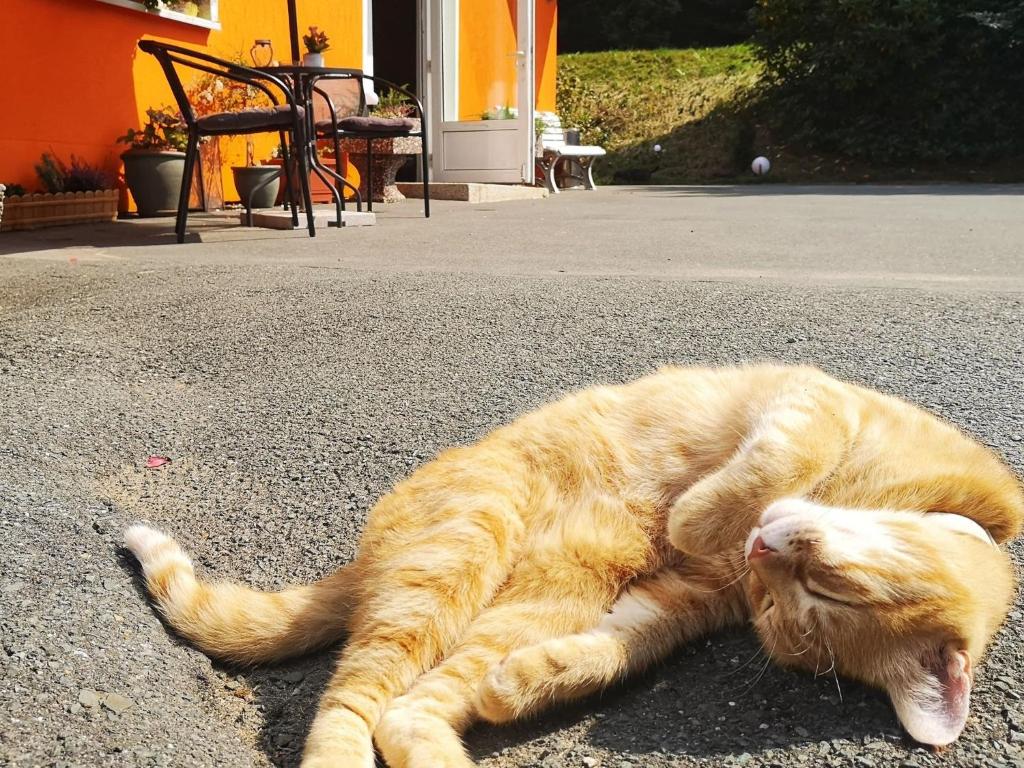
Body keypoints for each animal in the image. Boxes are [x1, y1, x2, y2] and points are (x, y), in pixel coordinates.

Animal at [123, 364, 1019, 768]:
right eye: (816, 582)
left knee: (410, 709)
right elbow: (781, 457)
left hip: (548, 591)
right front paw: (698, 514)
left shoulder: (679, 600)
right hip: (459, 555)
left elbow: (616, 649)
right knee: (350, 703)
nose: (760, 549)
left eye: (787, 607)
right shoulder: (815, 402)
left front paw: (528, 682)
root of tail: (371, 549)